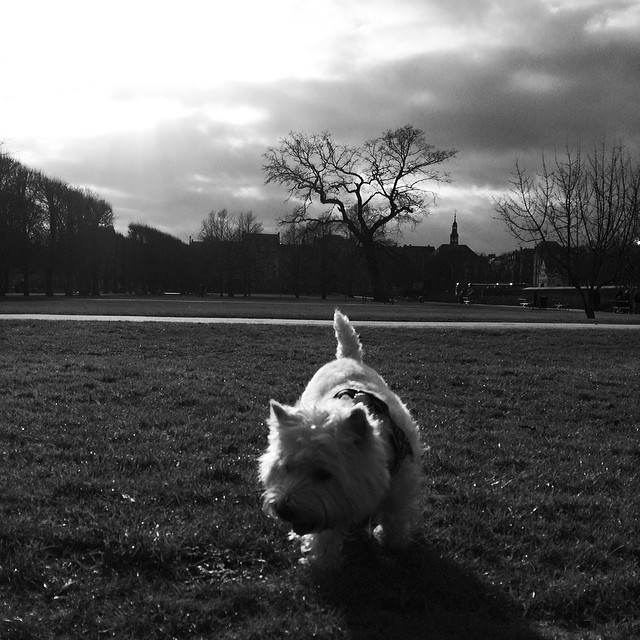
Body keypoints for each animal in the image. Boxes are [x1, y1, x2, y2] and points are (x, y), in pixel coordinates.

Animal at [258, 308, 422, 564]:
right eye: (286, 468)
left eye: (323, 474)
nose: (283, 509)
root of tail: (348, 357)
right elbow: (325, 535)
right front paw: (320, 562)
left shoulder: (401, 485)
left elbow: (395, 517)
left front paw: (393, 543)